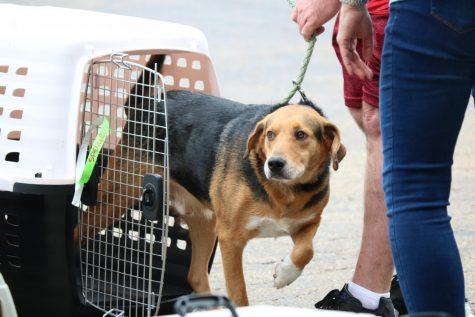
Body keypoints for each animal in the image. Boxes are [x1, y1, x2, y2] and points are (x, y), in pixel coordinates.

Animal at [82, 89, 346, 306]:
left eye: (301, 135)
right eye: (270, 135)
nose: (274, 164)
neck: (284, 191)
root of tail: (155, 102)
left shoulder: (308, 222)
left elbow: (306, 251)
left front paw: (284, 274)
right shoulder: (231, 238)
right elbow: (238, 292)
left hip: (205, 221)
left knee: (196, 276)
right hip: (115, 198)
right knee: (80, 229)